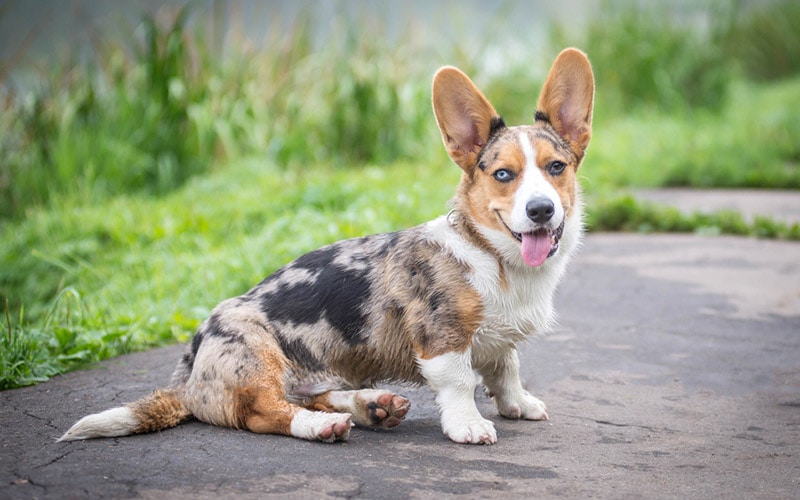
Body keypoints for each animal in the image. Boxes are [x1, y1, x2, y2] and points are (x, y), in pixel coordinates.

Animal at [57, 47, 592, 446]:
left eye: (556, 167)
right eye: (503, 174)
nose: (541, 210)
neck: (496, 258)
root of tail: (188, 375)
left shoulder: (499, 342)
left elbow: (506, 368)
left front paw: (518, 405)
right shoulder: (442, 338)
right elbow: (461, 381)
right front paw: (469, 425)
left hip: (312, 373)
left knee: (307, 395)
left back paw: (371, 406)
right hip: (257, 357)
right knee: (265, 413)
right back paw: (324, 425)